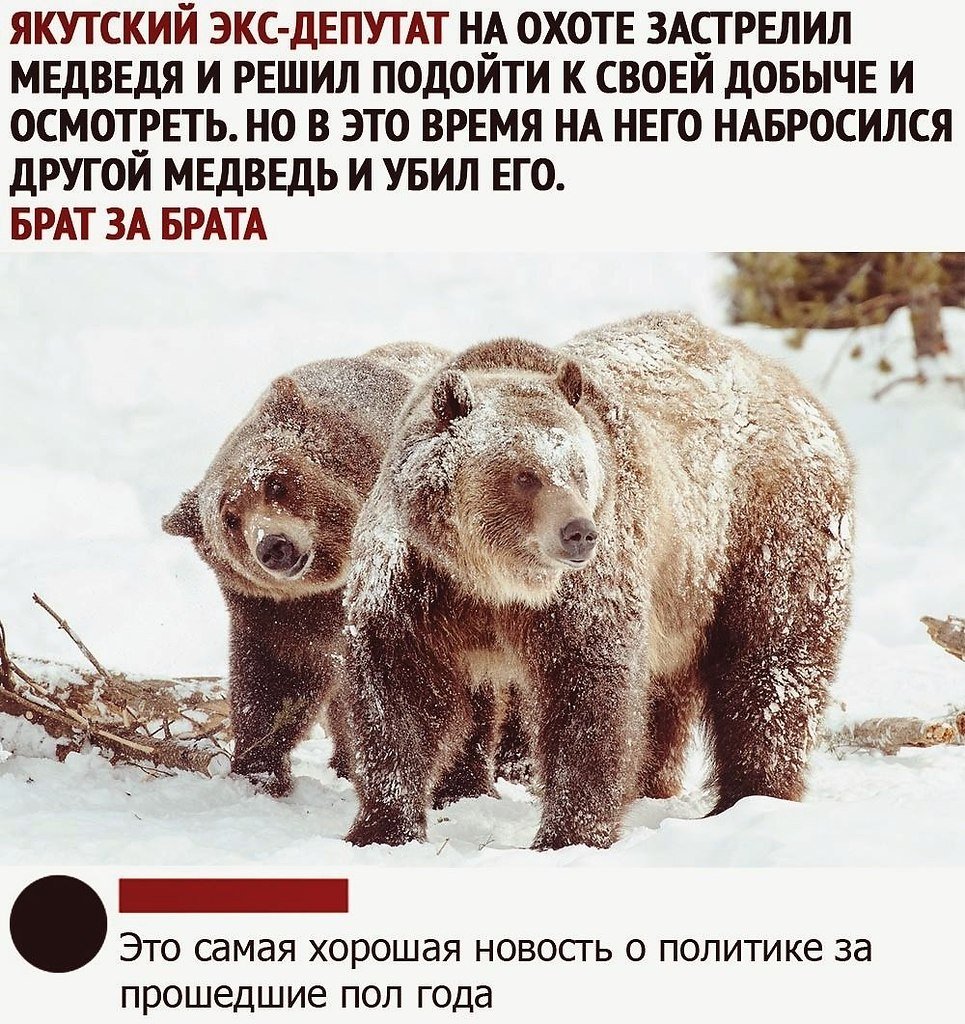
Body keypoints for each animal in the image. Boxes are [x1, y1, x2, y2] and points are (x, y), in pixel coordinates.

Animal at [162, 342, 447, 797]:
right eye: (229, 518)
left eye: (276, 482)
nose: (274, 546)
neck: (335, 576)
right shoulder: (279, 611)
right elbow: (277, 677)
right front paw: (260, 766)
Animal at [341, 312, 854, 850]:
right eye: (525, 475)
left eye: (577, 469)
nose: (578, 531)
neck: (495, 583)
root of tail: (798, 390)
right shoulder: (419, 586)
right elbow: (398, 695)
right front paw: (384, 825)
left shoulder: (584, 592)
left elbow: (588, 698)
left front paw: (568, 833)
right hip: (681, 593)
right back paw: (655, 782)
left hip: (768, 533)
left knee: (771, 667)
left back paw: (753, 795)